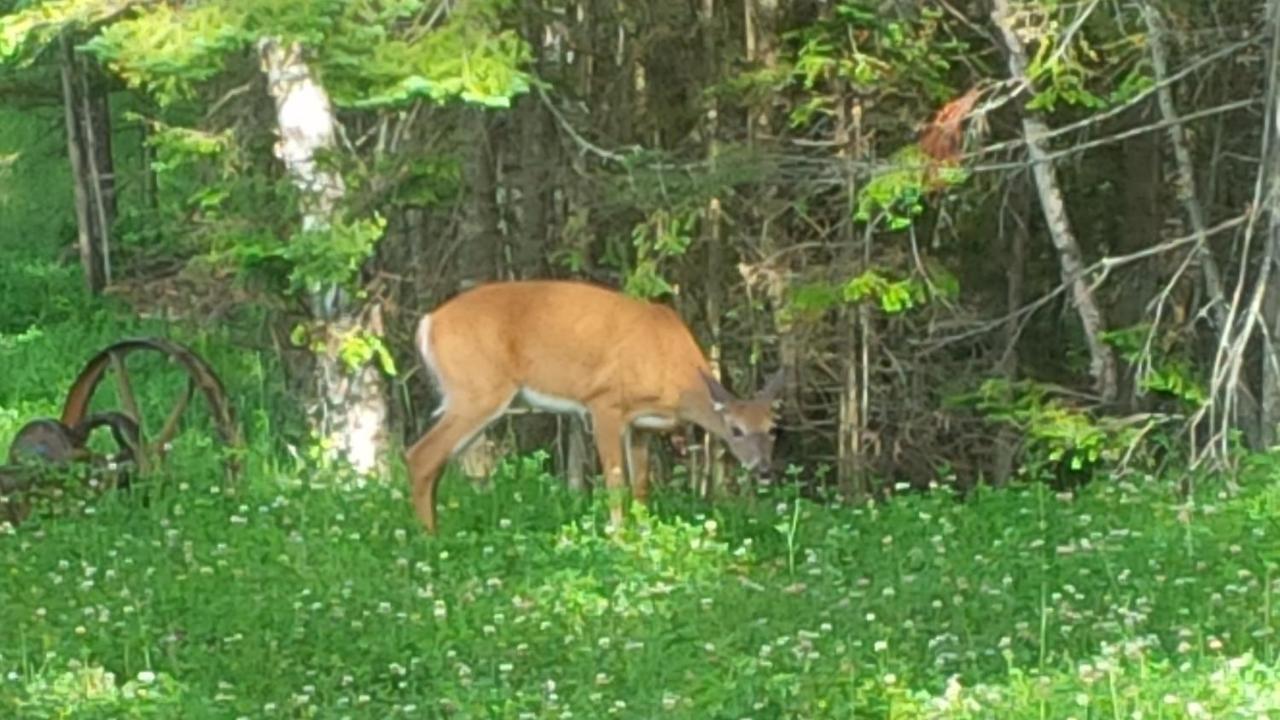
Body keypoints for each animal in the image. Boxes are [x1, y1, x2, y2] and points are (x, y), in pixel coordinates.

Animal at [407, 278, 788, 530]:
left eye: (773, 429)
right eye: (735, 430)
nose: (764, 469)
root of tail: (428, 324)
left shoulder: (641, 425)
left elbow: (641, 484)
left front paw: (644, 532)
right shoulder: (604, 403)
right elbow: (616, 482)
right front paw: (619, 536)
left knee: (450, 461)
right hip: (478, 388)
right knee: (421, 454)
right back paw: (430, 538)